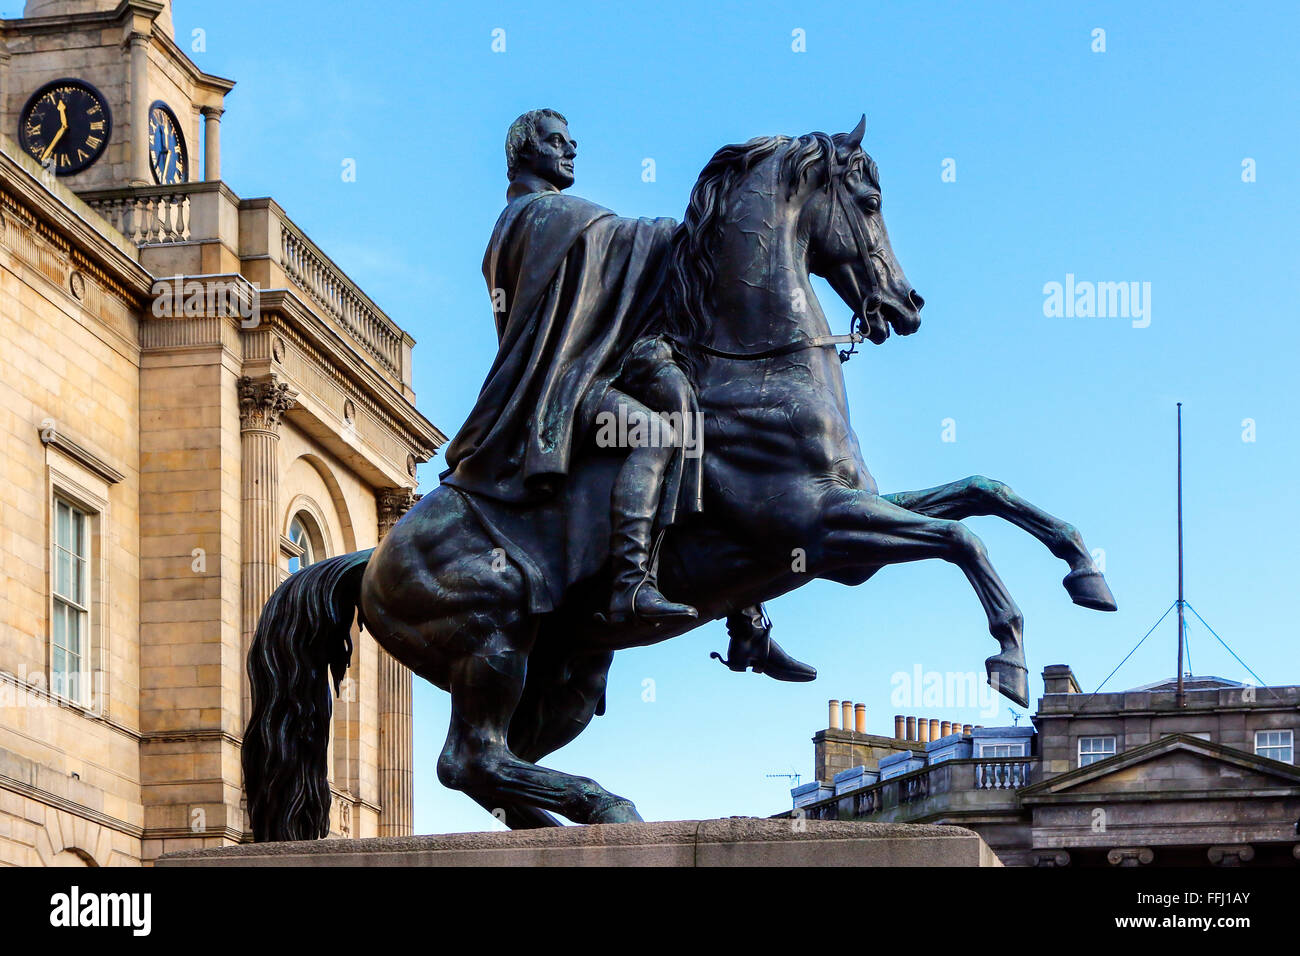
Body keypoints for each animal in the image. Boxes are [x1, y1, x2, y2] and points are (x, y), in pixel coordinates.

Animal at [244, 117, 1118, 837]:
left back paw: (576, 818)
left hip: (564, 673)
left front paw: (1086, 570)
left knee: (493, 766)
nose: (908, 302)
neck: (756, 368)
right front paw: (1009, 653)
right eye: (868, 201)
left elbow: (984, 493)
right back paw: (606, 802)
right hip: (489, 641)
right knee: (469, 757)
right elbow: (962, 537)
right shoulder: (823, 527)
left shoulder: (851, 511)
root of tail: (369, 559)